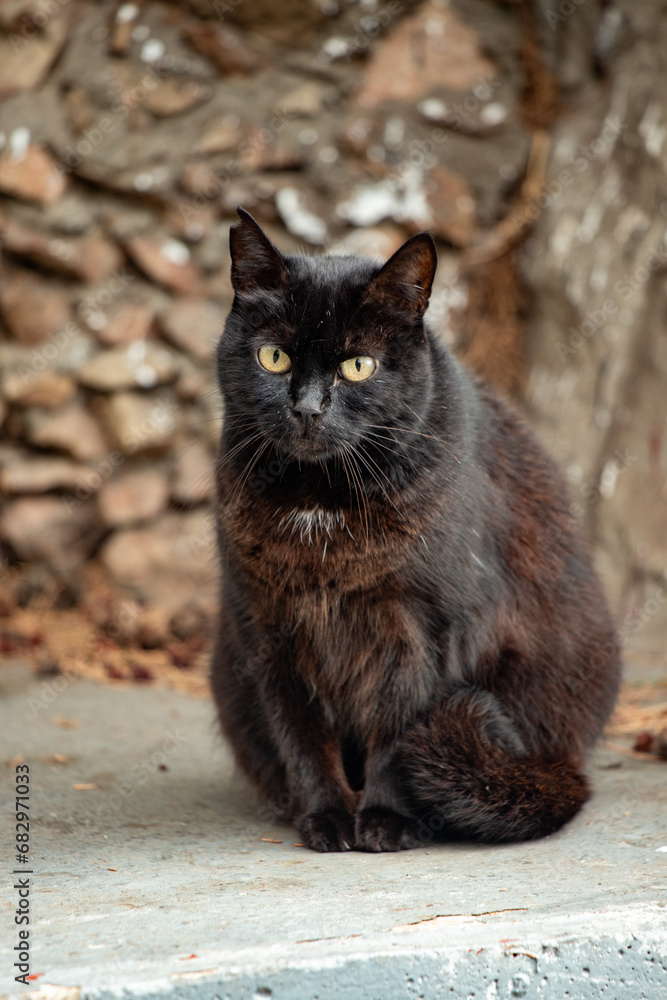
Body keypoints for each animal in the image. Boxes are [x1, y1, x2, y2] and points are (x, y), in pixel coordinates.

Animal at [210, 209, 620, 852]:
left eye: (358, 365)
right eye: (273, 357)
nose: (307, 409)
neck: (320, 503)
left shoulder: (426, 627)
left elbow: (400, 727)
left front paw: (386, 820)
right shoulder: (270, 628)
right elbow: (301, 734)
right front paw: (326, 818)